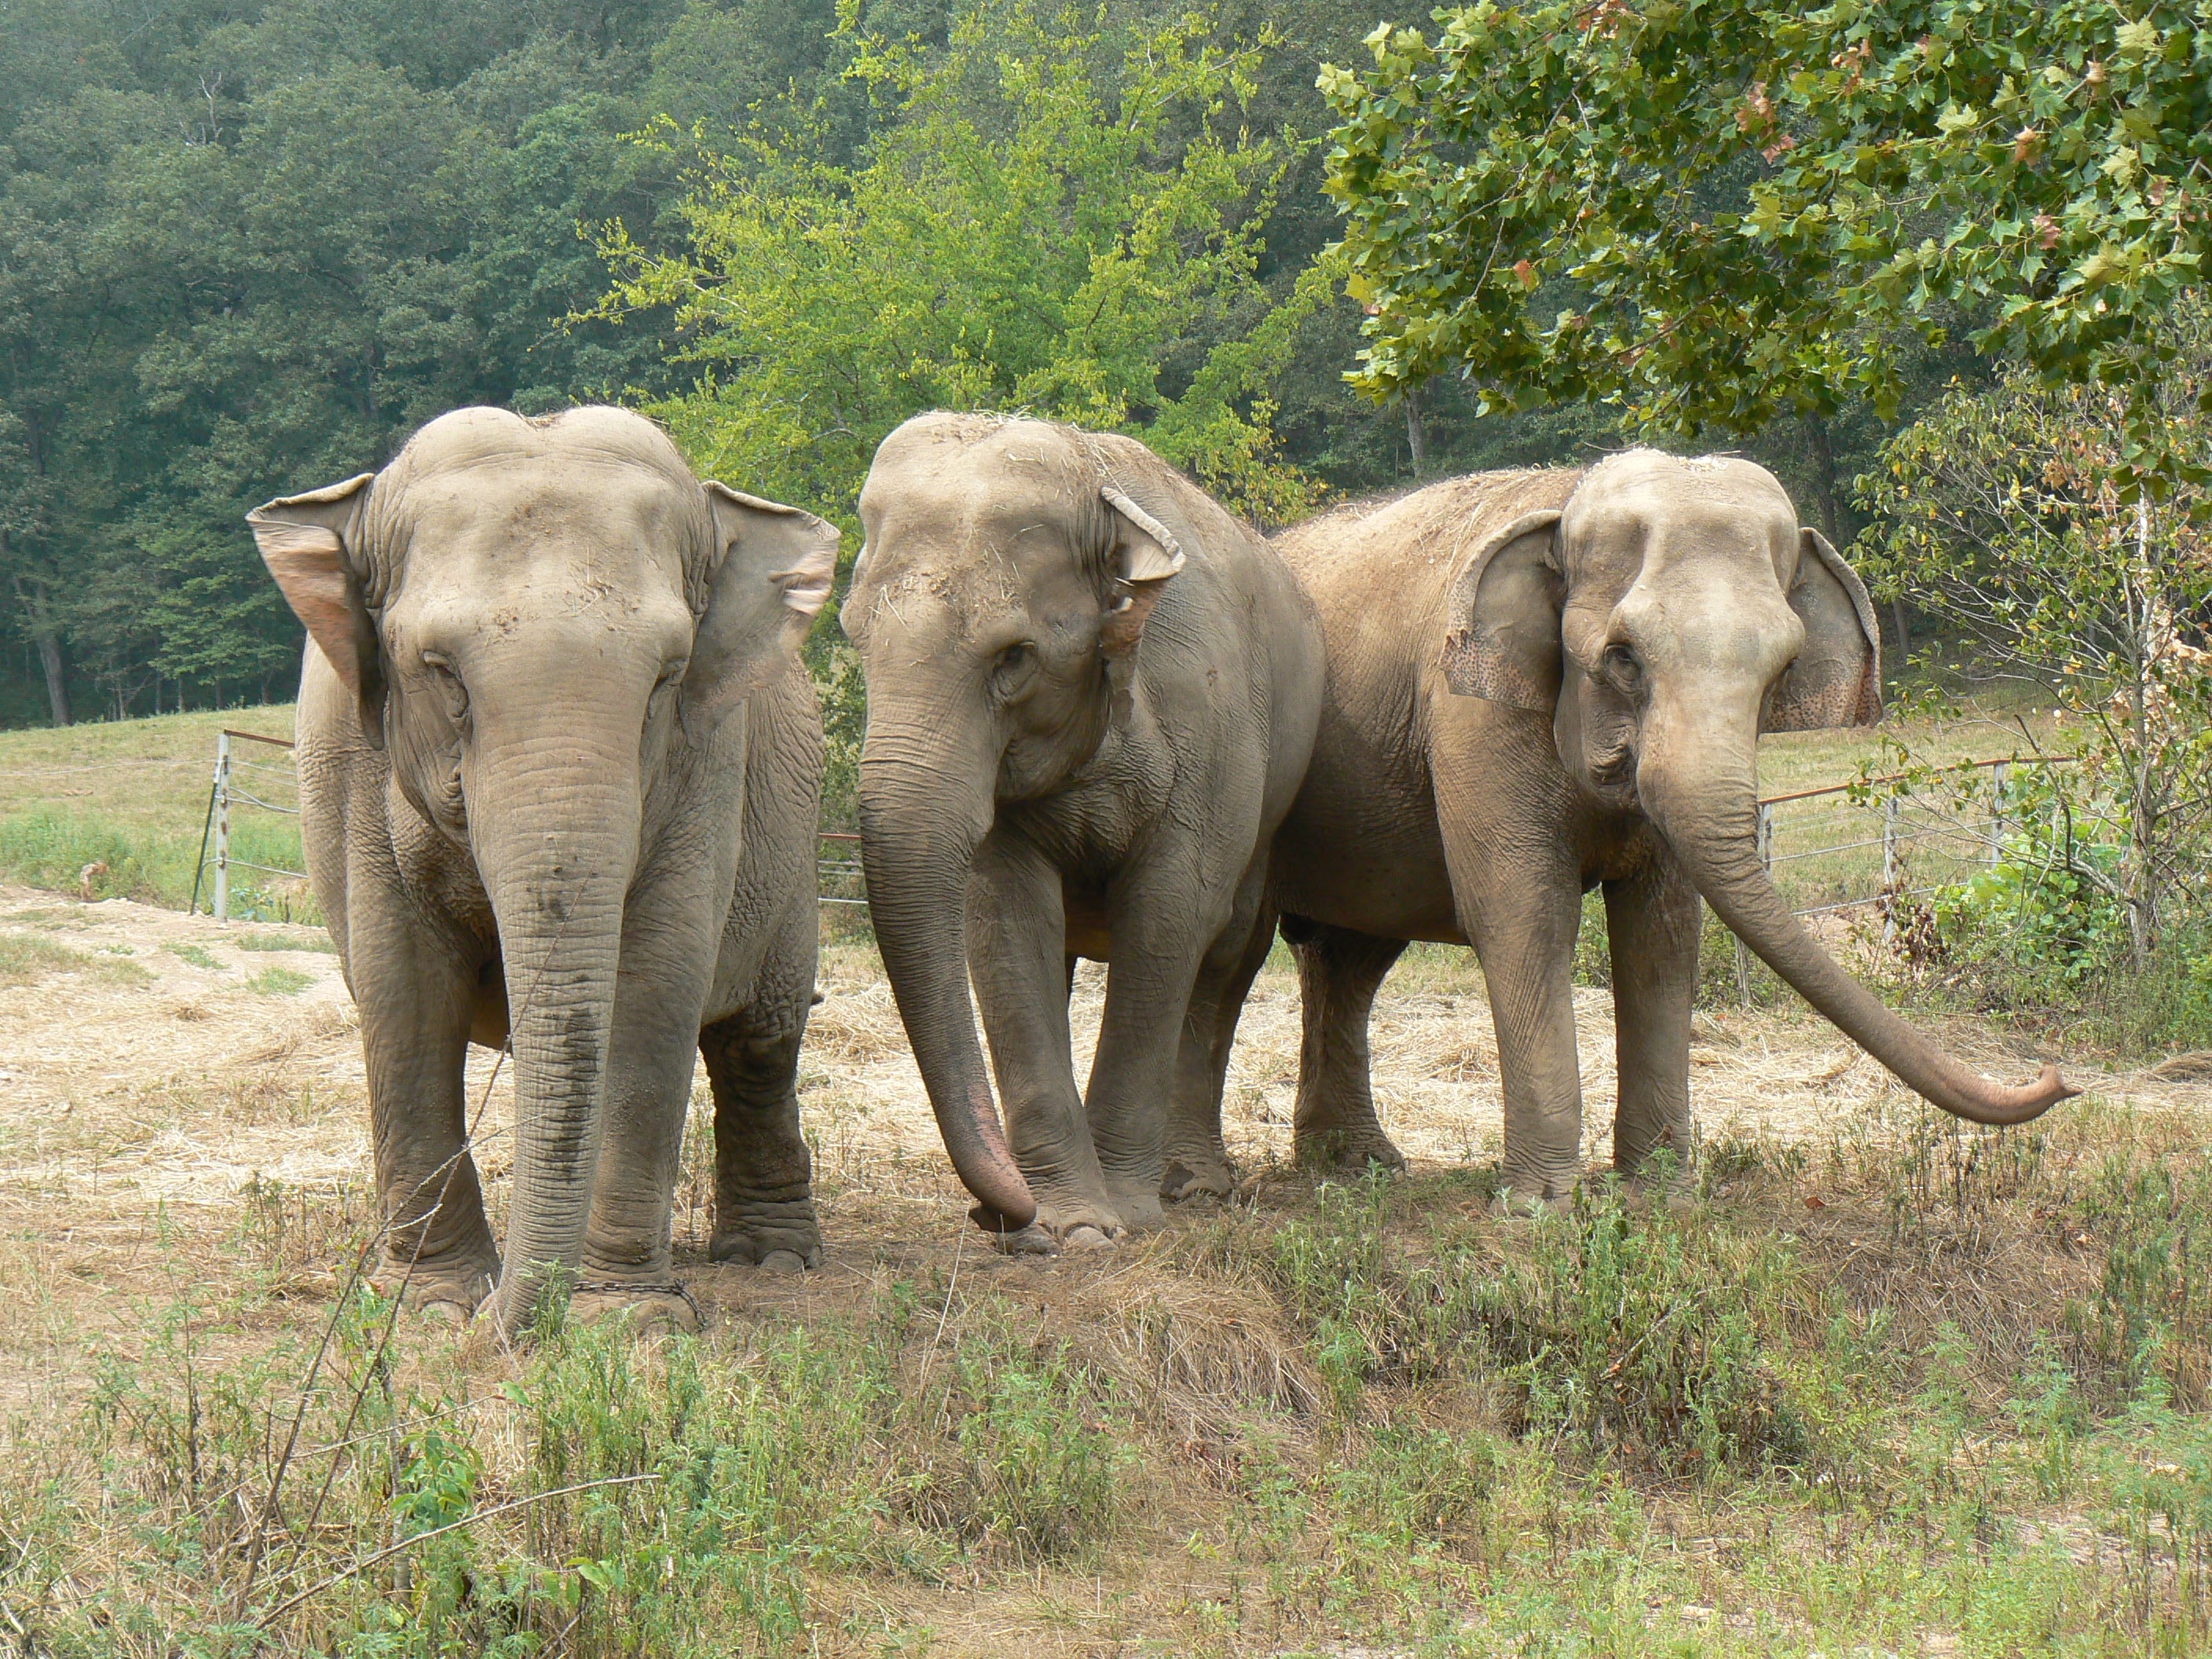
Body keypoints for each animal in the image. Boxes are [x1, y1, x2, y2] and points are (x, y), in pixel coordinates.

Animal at [248, 405, 837, 1335]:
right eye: (440, 673)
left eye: (667, 677)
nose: (510, 1326)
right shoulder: (348, 760)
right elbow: (402, 992)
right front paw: (433, 1309)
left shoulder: (711, 758)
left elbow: (657, 984)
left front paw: (630, 1323)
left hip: (794, 849)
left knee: (759, 1042)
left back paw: (770, 1258)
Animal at [842, 413, 1324, 1246]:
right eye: (854, 638)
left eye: (1013, 658)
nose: (992, 1214)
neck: (1096, 490)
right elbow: (1004, 919)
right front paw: (1069, 1227)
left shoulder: (1213, 740)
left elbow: (1168, 917)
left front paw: (1124, 1216)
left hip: (1270, 809)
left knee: (1225, 955)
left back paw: (1190, 1184)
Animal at [1246, 449, 2072, 1201]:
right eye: (1622, 659)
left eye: (1782, 670)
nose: (2056, 1077)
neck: (1566, 497)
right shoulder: (1468, 717)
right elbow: (1524, 915)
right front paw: (1542, 1208)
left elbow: (1663, 933)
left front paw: (1658, 1194)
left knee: (1349, 955)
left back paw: (1354, 1167)